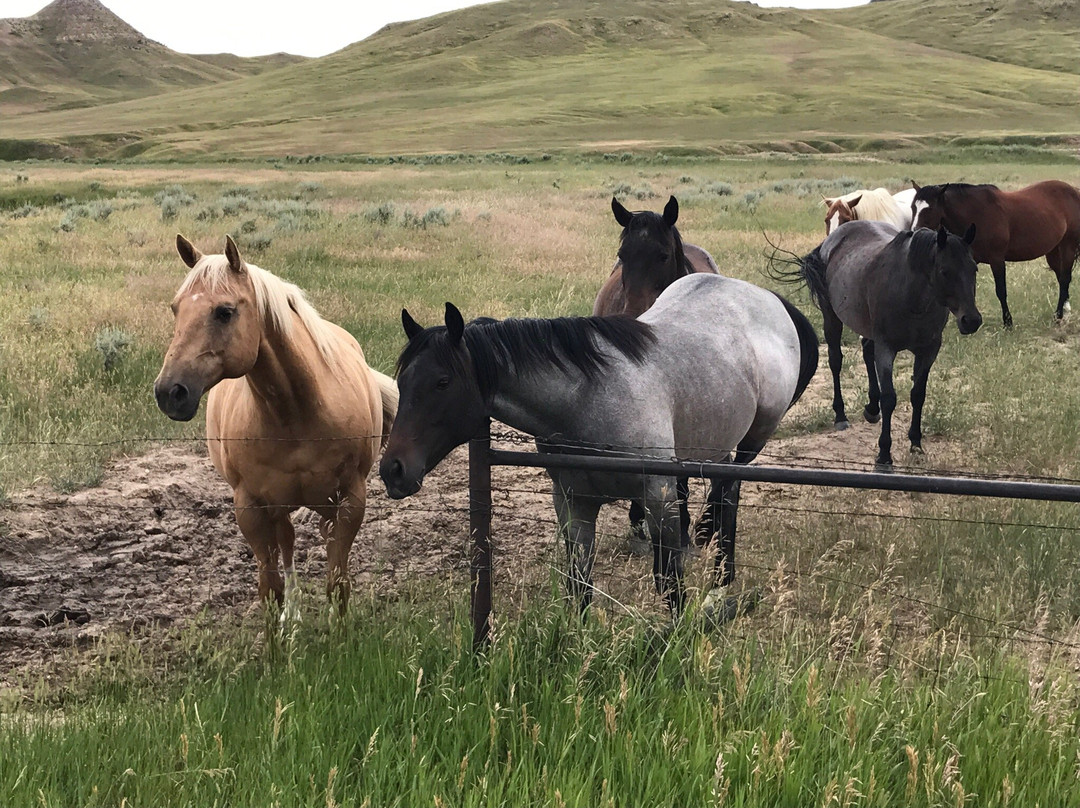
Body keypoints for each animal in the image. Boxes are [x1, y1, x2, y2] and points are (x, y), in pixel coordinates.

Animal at [154, 233, 399, 613]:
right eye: (176, 308)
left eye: (224, 312)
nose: (169, 392)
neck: (296, 415)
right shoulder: (251, 509)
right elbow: (271, 588)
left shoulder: (350, 500)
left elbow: (337, 582)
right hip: (278, 507)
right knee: (287, 544)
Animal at [380, 274, 816, 622]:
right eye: (402, 382)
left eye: (442, 382)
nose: (392, 469)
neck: (587, 399)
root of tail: (766, 297)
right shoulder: (573, 503)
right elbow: (580, 583)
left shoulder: (657, 496)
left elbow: (668, 581)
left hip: (751, 442)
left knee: (730, 492)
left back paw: (723, 577)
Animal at [781, 222, 984, 466]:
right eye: (945, 271)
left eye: (974, 269)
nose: (971, 320)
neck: (911, 297)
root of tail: (831, 240)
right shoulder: (887, 348)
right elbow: (890, 399)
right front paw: (884, 453)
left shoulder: (928, 350)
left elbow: (918, 394)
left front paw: (916, 443)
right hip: (832, 318)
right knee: (836, 361)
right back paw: (840, 415)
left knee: (867, 352)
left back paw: (871, 408)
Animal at [911, 180, 1080, 324]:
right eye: (913, 207)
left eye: (929, 209)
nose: (915, 233)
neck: (976, 213)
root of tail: (1074, 191)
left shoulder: (997, 259)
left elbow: (1001, 290)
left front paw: (1008, 322)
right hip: (1053, 251)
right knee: (1061, 279)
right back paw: (1065, 312)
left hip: (1068, 246)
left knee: (1065, 279)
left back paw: (1058, 316)